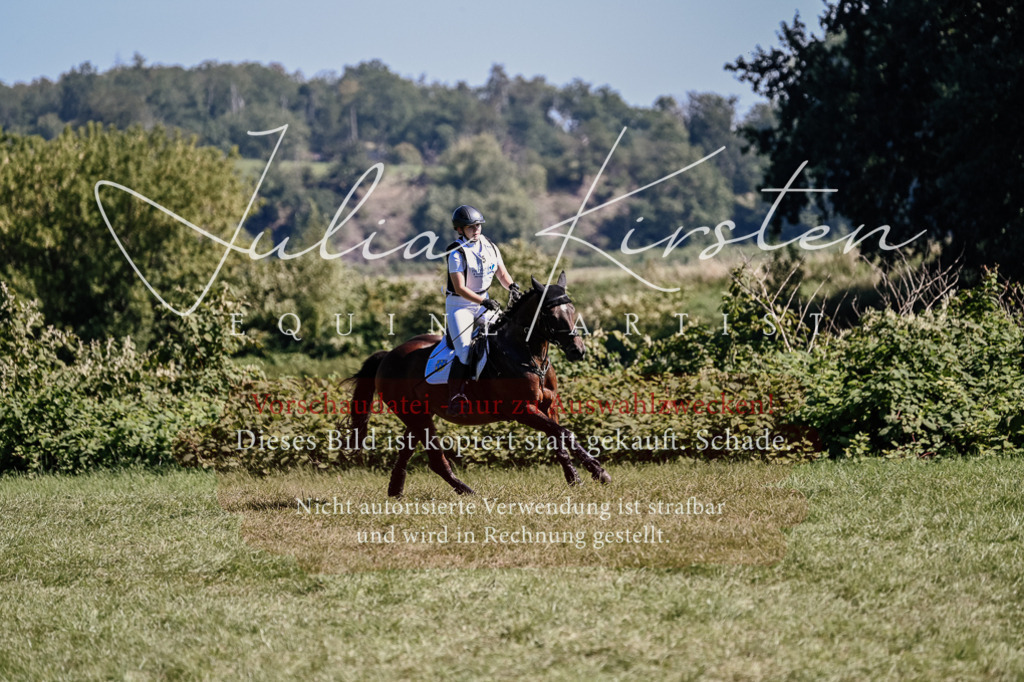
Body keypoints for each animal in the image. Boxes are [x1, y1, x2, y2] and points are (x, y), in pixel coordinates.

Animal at [344, 272, 611, 497]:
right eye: (551, 315)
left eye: (572, 310)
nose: (577, 351)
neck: (528, 356)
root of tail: (388, 356)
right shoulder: (523, 410)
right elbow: (564, 433)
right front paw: (598, 472)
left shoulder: (548, 405)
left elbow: (559, 438)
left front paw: (576, 478)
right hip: (416, 416)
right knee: (435, 459)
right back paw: (466, 491)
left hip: (418, 414)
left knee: (408, 449)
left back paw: (396, 492)